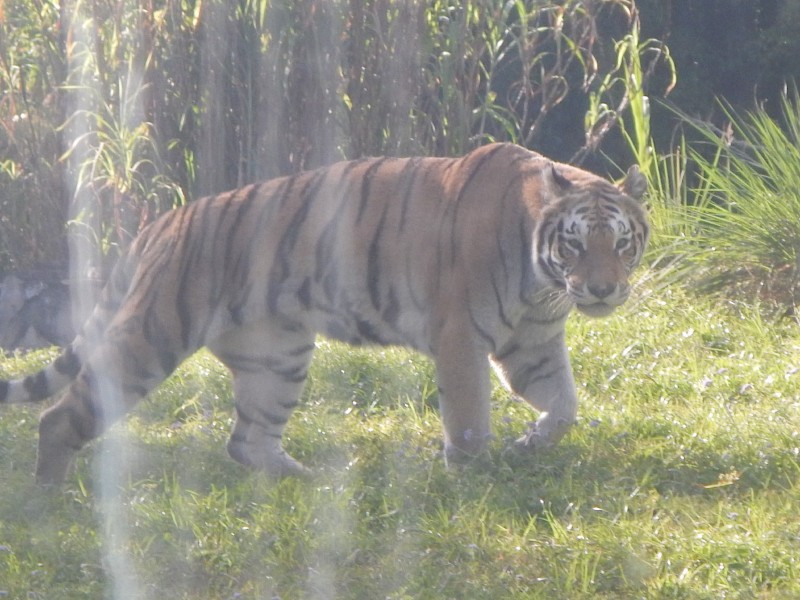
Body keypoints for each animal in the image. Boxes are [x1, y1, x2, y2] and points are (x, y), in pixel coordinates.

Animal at [0, 142, 648, 485]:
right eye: (575, 244)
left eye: (621, 243)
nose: (602, 290)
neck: (545, 284)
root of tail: (162, 222)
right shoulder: (460, 337)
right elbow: (468, 418)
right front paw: (471, 480)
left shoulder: (532, 344)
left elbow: (565, 405)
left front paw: (530, 446)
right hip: (152, 337)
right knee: (59, 416)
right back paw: (52, 500)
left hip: (277, 356)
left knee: (248, 441)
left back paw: (312, 484)